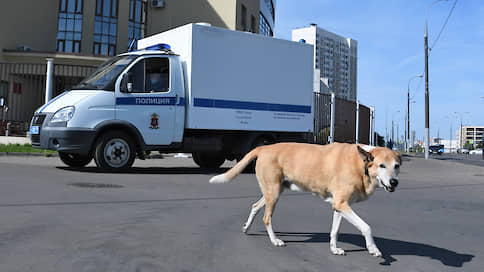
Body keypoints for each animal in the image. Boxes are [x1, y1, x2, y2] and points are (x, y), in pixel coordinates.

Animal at [208, 142, 400, 258]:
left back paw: (247, 227)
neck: (361, 164)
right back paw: (275, 240)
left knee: (255, 206)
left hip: (273, 191)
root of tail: (264, 148)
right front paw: (373, 248)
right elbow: (366, 227)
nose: (394, 182)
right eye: (381, 165)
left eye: (396, 166)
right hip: (274, 193)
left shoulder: (340, 206)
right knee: (266, 218)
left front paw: (334, 248)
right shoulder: (342, 204)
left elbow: (335, 230)